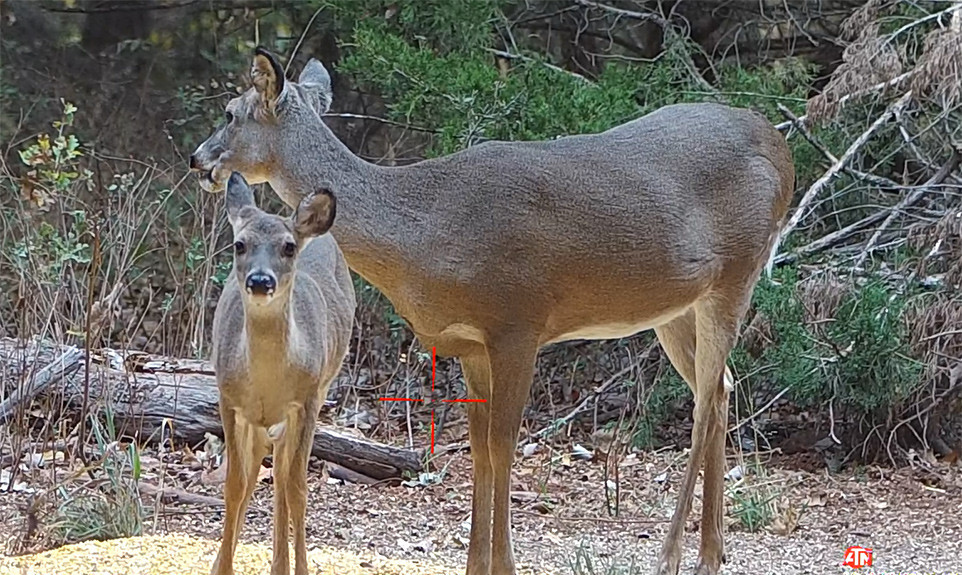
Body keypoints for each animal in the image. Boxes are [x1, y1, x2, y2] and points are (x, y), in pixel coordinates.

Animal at [210, 172, 356, 575]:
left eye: (288, 247)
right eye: (239, 244)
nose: (261, 281)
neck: (267, 382)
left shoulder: (306, 400)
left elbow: (298, 488)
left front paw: (299, 568)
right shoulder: (228, 399)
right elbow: (234, 483)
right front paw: (222, 567)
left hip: (320, 390)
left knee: (282, 476)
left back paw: (281, 565)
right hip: (260, 419)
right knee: (259, 470)